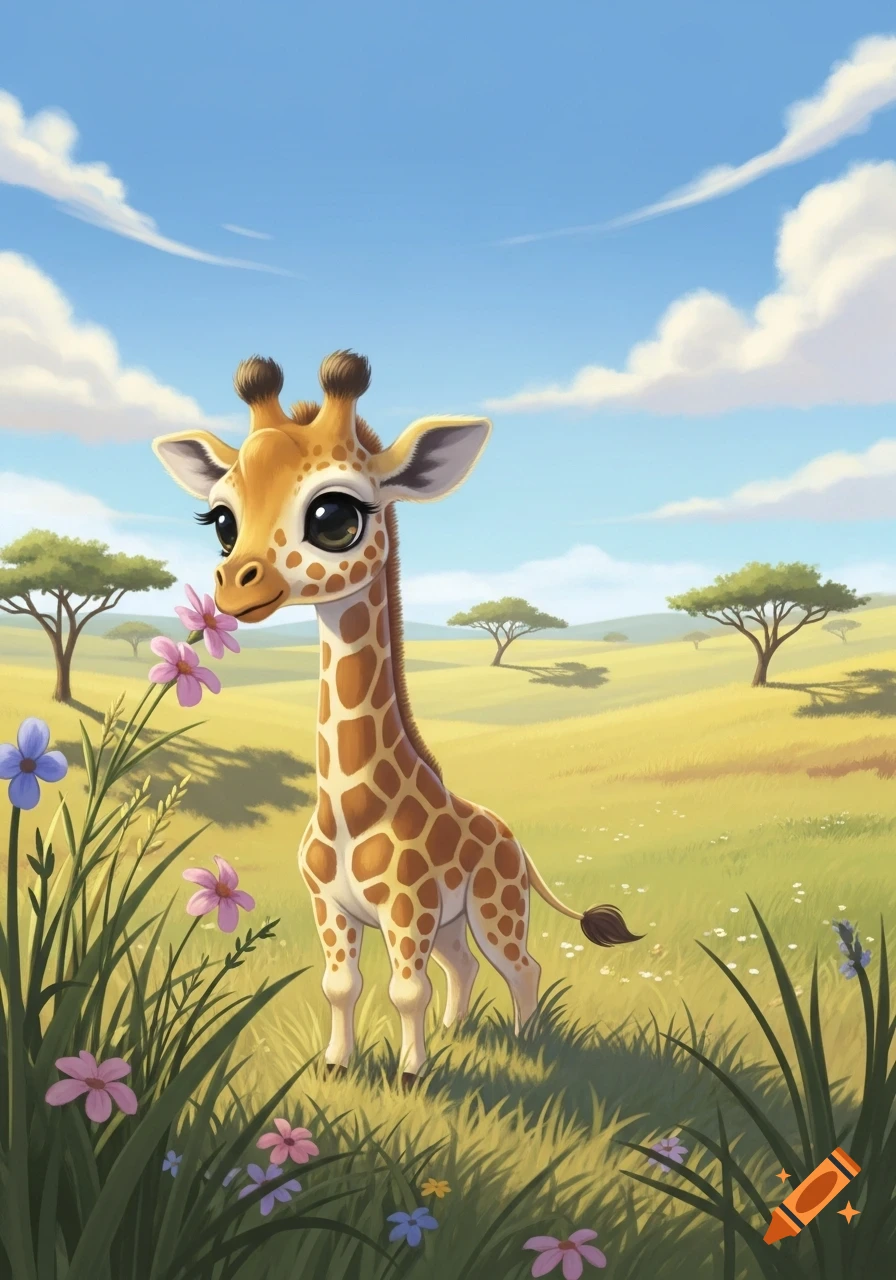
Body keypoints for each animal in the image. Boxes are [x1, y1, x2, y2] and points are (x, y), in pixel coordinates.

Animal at [152, 351, 642, 1085]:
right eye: (221, 521)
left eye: (334, 515)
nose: (236, 586)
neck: (351, 807)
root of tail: (514, 840)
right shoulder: (331, 906)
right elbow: (341, 986)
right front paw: (338, 1066)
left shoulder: (406, 907)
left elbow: (406, 989)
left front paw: (412, 1076)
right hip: (454, 921)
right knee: (464, 967)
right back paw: (459, 1031)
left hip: (497, 906)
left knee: (521, 967)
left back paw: (525, 1044)